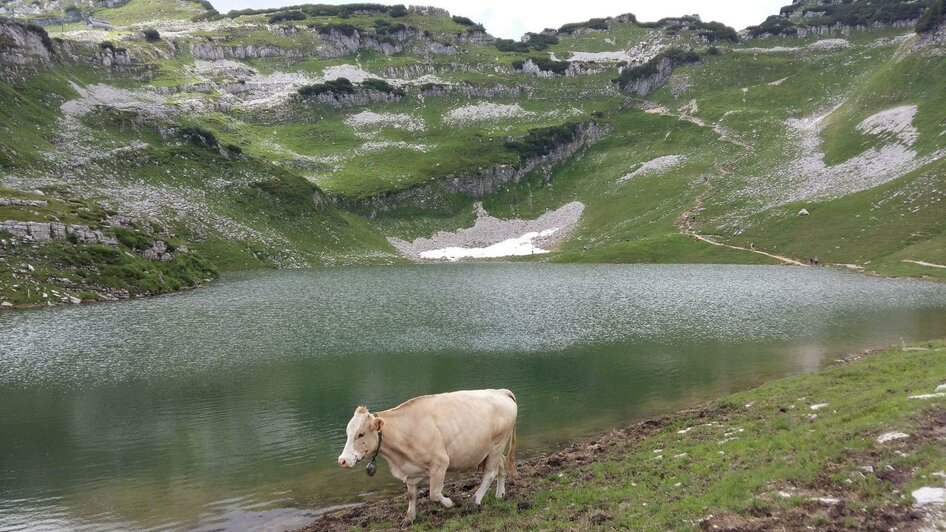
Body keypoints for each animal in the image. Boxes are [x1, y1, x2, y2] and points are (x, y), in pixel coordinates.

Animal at [338, 386, 516, 524]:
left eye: (361, 434)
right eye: (347, 433)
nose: (342, 460)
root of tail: (500, 391)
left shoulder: (440, 463)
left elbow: (434, 494)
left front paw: (450, 503)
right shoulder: (410, 471)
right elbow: (411, 495)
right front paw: (409, 518)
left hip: (497, 444)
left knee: (489, 474)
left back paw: (474, 502)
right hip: (492, 449)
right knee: (501, 465)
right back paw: (500, 495)